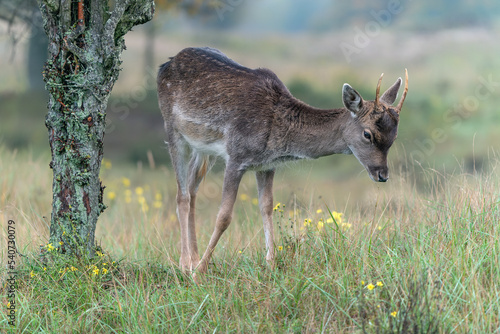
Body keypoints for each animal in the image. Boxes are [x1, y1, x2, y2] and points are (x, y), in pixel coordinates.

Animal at [158, 45, 408, 278]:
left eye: (394, 137)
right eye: (368, 134)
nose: (382, 174)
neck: (277, 136)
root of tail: (166, 64)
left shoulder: (266, 164)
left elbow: (266, 207)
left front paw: (270, 264)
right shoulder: (236, 156)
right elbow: (224, 216)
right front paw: (200, 272)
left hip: (204, 148)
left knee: (192, 190)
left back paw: (193, 257)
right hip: (172, 128)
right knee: (182, 195)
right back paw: (186, 264)